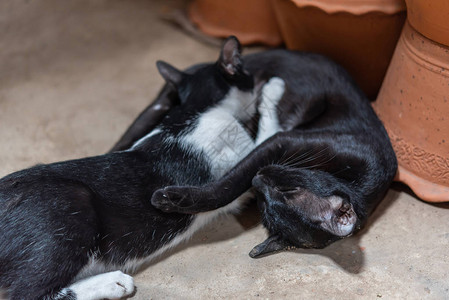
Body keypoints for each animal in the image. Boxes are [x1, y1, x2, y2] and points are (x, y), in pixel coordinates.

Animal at [0, 37, 280, 300]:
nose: (257, 78)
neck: (196, 109)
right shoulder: (240, 150)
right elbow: (268, 138)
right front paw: (273, 89)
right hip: (71, 205)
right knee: (28, 293)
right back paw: (112, 283)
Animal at [149, 48, 398, 258]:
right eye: (290, 190)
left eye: (264, 206)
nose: (258, 178)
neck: (353, 180)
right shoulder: (280, 141)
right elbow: (229, 185)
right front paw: (171, 199)